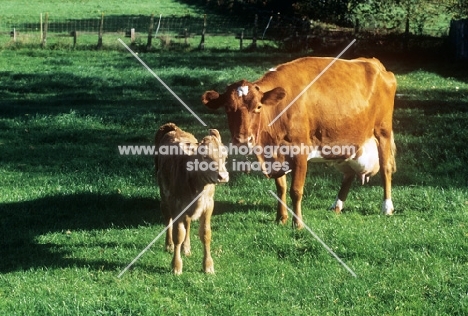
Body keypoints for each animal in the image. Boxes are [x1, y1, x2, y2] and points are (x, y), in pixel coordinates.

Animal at [155, 123, 229, 274]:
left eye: (225, 156)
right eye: (205, 156)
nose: (223, 176)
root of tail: (174, 129)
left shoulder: (208, 205)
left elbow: (205, 234)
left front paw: (208, 266)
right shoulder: (176, 205)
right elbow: (178, 234)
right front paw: (176, 266)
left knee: (187, 222)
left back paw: (186, 248)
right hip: (164, 198)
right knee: (167, 219)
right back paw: (169, 245)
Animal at [203, 56, 396, 228]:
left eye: (258, 107)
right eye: (228, 108)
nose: (243, 140)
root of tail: (375, 63)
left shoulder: (300, 152)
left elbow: (296, 190)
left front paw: (298, 223)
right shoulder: (276, 154)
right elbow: (281, 187)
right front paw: (281, 218)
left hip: (383, 131)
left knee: (386, 167)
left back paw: (387, 207)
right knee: (348, 173)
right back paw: (337, 205)